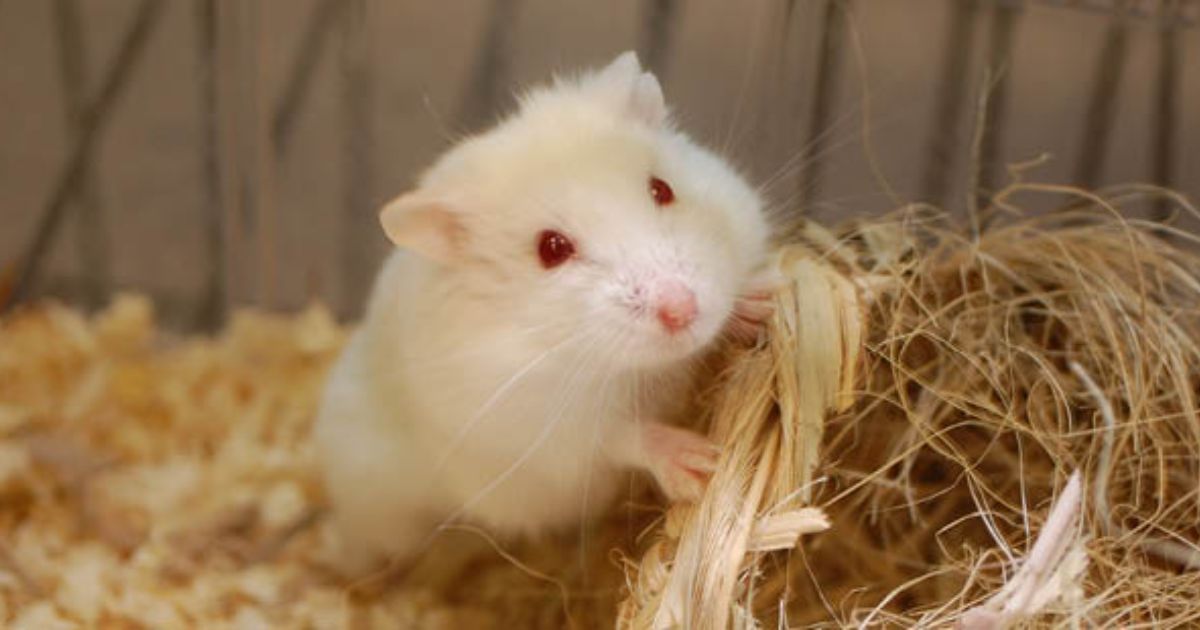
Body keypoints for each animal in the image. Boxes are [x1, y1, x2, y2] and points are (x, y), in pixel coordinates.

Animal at [314, 51, 773, 575]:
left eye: (662, 190)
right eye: (551, 248)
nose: (682, 309)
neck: (636, 368)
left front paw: (763, 299)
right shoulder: (553, 433)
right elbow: (627, 435)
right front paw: (700, 465)